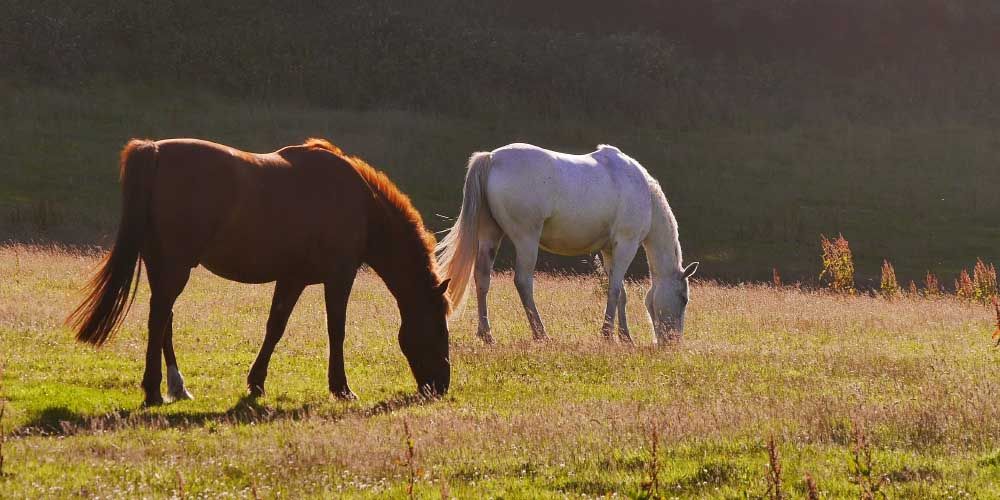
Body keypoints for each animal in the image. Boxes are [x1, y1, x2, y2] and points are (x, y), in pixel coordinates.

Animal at [66, 138, 450, 406]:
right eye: (438, 328)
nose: (442, 385)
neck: (363, 206)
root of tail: (155, 150)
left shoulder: (292, 279)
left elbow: (274, 327)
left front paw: (256, 382)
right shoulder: (339, 278)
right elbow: (336, 331)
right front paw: (341, 388)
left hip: (162, 266)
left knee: (165, 322)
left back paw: (177, 386)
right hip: (175, 267)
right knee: (159, 319)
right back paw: (154, 391)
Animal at [438, 144, 696, 344]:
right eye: (683, 298)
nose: (672, 342)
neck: (642, 191)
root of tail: (491, 158)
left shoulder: (609, 250)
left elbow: (620, 292)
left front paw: (624, 338)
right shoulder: (626, 244)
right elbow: (614, 290)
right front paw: (608, 335)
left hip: (491, 236)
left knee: (482, 278)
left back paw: (487, 335)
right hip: (526, 239)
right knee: (523, 281)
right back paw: (541, 334)